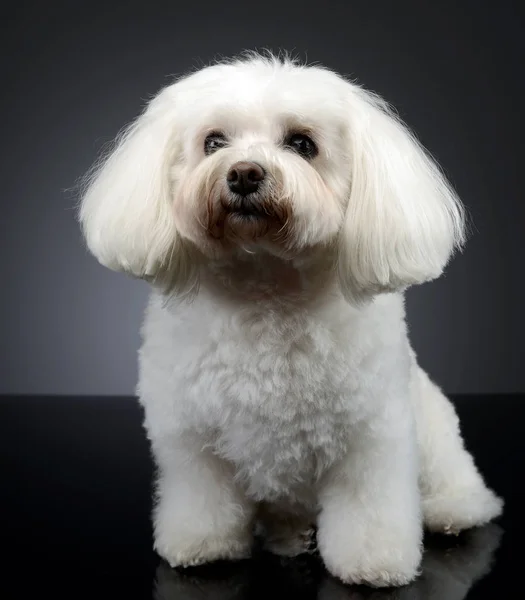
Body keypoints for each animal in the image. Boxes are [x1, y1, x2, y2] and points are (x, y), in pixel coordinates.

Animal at [77, 51, 500, 584]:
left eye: (302, 144)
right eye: (213, 142)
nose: (243, 173)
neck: (265, 286)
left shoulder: (369, 438)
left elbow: (369, 507)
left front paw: (373, 561)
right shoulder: (194, 440)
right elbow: (203, 499)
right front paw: (203, 544)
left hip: (435, 434)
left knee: (459, 484)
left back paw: (451, 510)